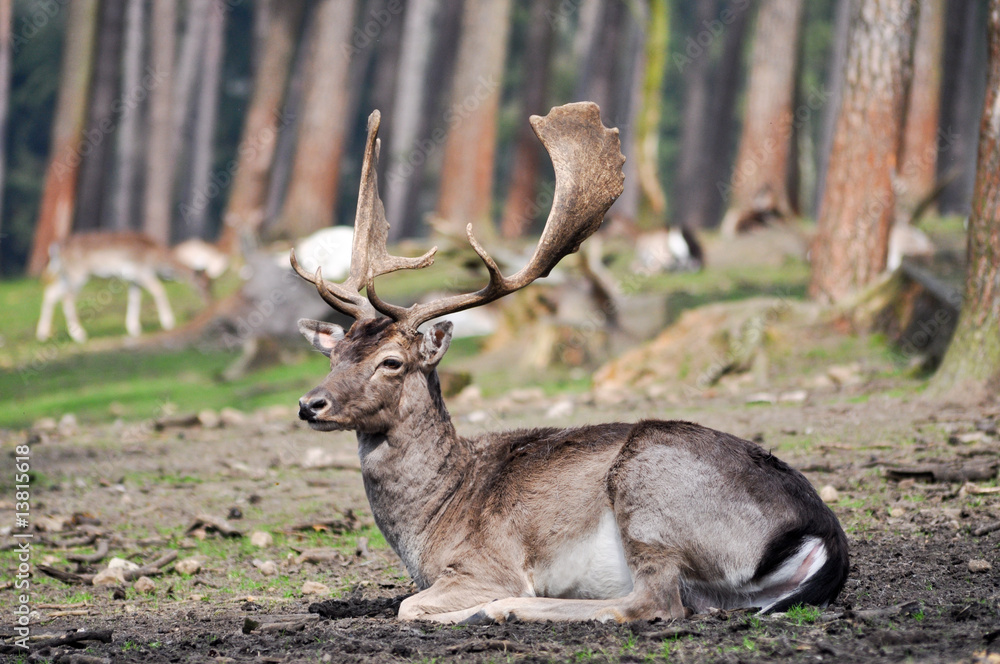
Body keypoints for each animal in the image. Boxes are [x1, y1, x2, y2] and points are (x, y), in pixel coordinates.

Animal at [36, 232, 224, 343]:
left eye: (212, 284)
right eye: (203, 285)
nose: (211, 301)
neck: (158, 260)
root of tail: (55, 247)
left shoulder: (134, 279)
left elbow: (135, 298)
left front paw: (134, 329)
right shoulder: (143, 272)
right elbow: (159, 290)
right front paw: (168, 323)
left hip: (64, 275)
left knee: (51, 293)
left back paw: (42, 334)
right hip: (77, 273)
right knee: (67, 297)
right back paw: (79, 335)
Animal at [292, 103, 850, 624]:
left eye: (391, 362)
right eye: (334, 354)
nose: (309, 404)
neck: (432, 522)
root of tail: (822, 535)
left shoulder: (486, 563)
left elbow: (408, 605)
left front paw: (477, 606)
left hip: (651, 490)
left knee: (654, 602)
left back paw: (505, 608)